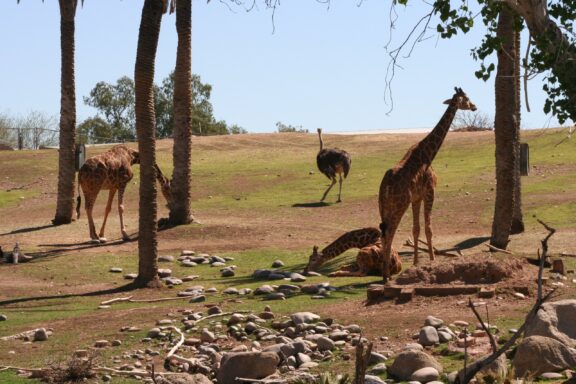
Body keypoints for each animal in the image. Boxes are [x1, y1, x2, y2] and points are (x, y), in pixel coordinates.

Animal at [378, 87, 476, 280]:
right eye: (467, 98)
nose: (474, 106)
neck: (428, 154)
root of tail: (385, 185)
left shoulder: (416, 198)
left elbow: (416, 229)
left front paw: (416, 262)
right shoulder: (430, 192)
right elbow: (429, 228)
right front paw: (432, 260)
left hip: (383, 206)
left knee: (384, 233)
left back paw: (386, 273)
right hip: (399, 204)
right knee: (390, 232)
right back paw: (386, 275)